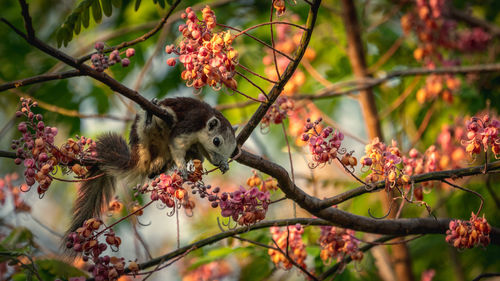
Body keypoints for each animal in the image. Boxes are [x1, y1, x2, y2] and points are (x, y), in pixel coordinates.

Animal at [68, 96, 238, 234]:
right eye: (216, 141)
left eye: (233, 149)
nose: (218, 161)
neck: (205, 118)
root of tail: (139, 156)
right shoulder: (190, 124)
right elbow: (177, 143)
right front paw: (183, 168)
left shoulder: (200, 142)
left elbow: (203, 151)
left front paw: (223, 164)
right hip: (151, 131)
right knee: (150, 127)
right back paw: (149, 117)